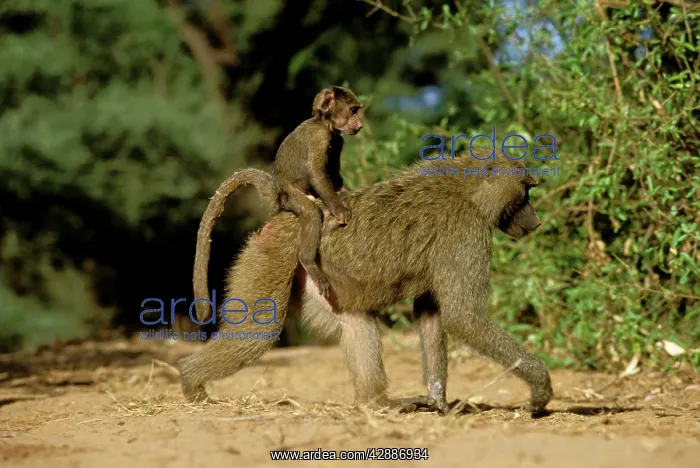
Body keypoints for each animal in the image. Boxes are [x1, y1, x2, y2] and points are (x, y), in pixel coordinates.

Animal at [181, 149, 553, 414]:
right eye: (525, 192)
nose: (536, 222)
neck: (467, 190)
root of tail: (286, 214)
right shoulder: (466, 232)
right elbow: (464, 317)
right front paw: (540, 390)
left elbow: (431, 313)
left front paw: (439, 401)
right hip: (273, 256)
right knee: (257, 334)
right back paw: (191, 384)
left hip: (319, 281)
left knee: (356, 321)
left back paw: (377, 404)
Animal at [271, 85, 363, 299]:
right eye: (353, 111)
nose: (360, 124)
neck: (323, 123)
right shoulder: (320, 137)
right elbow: (316, 172)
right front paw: (339, 209)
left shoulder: (337, 140)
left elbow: (335, 178)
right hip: (291, 195)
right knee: (312, 213)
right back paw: (308, 262)